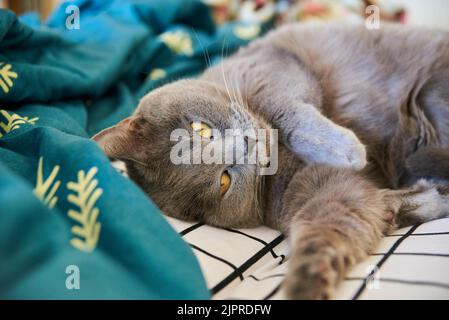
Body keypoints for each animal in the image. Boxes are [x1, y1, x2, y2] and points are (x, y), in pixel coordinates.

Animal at [93, 23, 448, 298]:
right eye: (225, 181)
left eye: (200, 128)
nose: (245, 145)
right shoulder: (322, 190)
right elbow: (330, 225)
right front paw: (306, 283)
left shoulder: (270, 64)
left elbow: (280, 107)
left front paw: (345, 149)